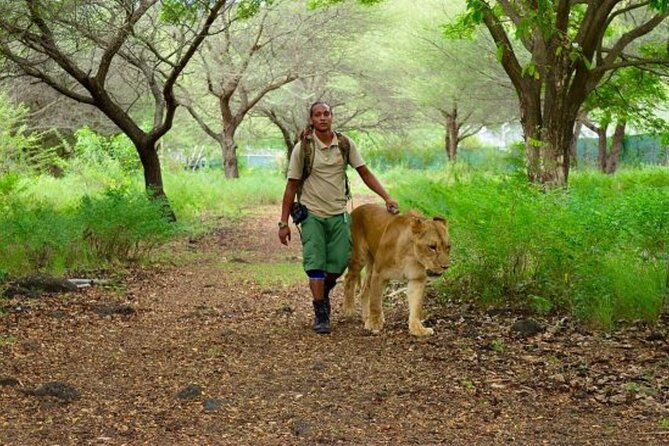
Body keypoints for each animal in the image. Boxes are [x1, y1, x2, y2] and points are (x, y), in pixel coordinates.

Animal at [344, 204, 448, 336]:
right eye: (432, 247)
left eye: (448, 247)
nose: (446, 266)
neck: (411, 255)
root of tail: (358, 208)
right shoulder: (379, 274)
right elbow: (375, 301)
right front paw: (374, 323)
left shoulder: (417, 279)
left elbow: (416, 306)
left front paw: (418, 328)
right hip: (359, 257)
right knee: (348, 278)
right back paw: (349, 308)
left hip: (371, 266)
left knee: (364, 291)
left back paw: (366, 316)